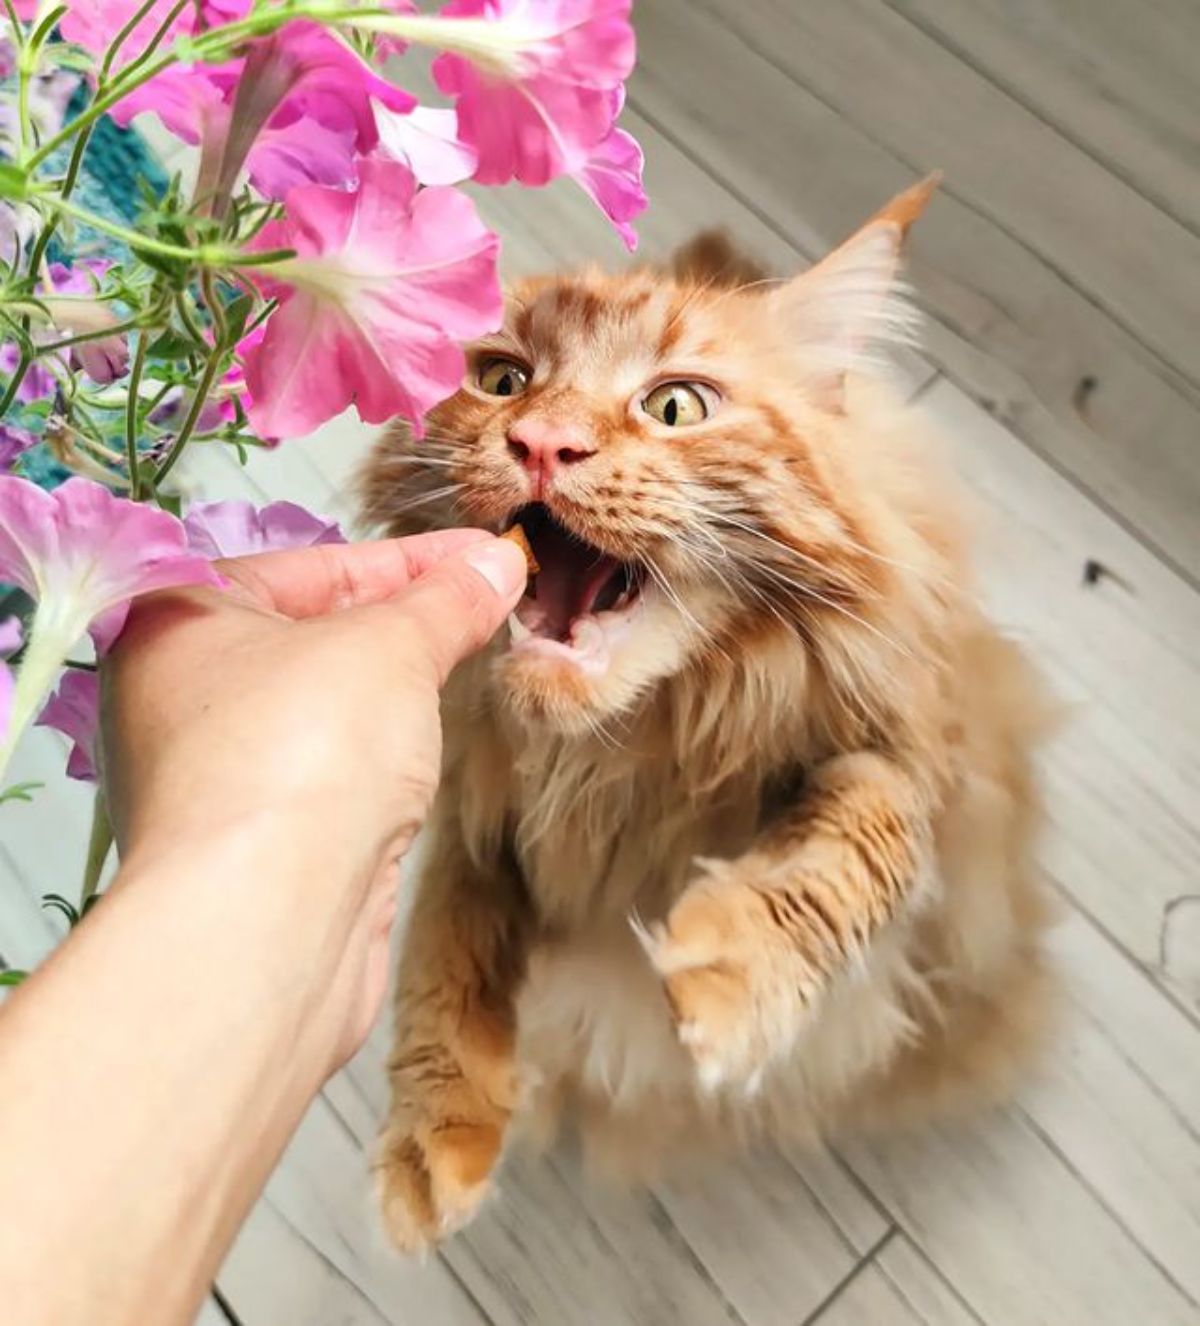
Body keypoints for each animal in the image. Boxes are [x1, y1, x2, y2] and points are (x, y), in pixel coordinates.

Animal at [360, 179, 1055, 1251]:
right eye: (504, 380)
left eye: (675, 406)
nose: (541, 444)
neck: (618, 760)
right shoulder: (478, 795)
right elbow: (450, 938)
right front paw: (435, 1140)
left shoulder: (927, 769)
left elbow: (872, 821)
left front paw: (735, 969)